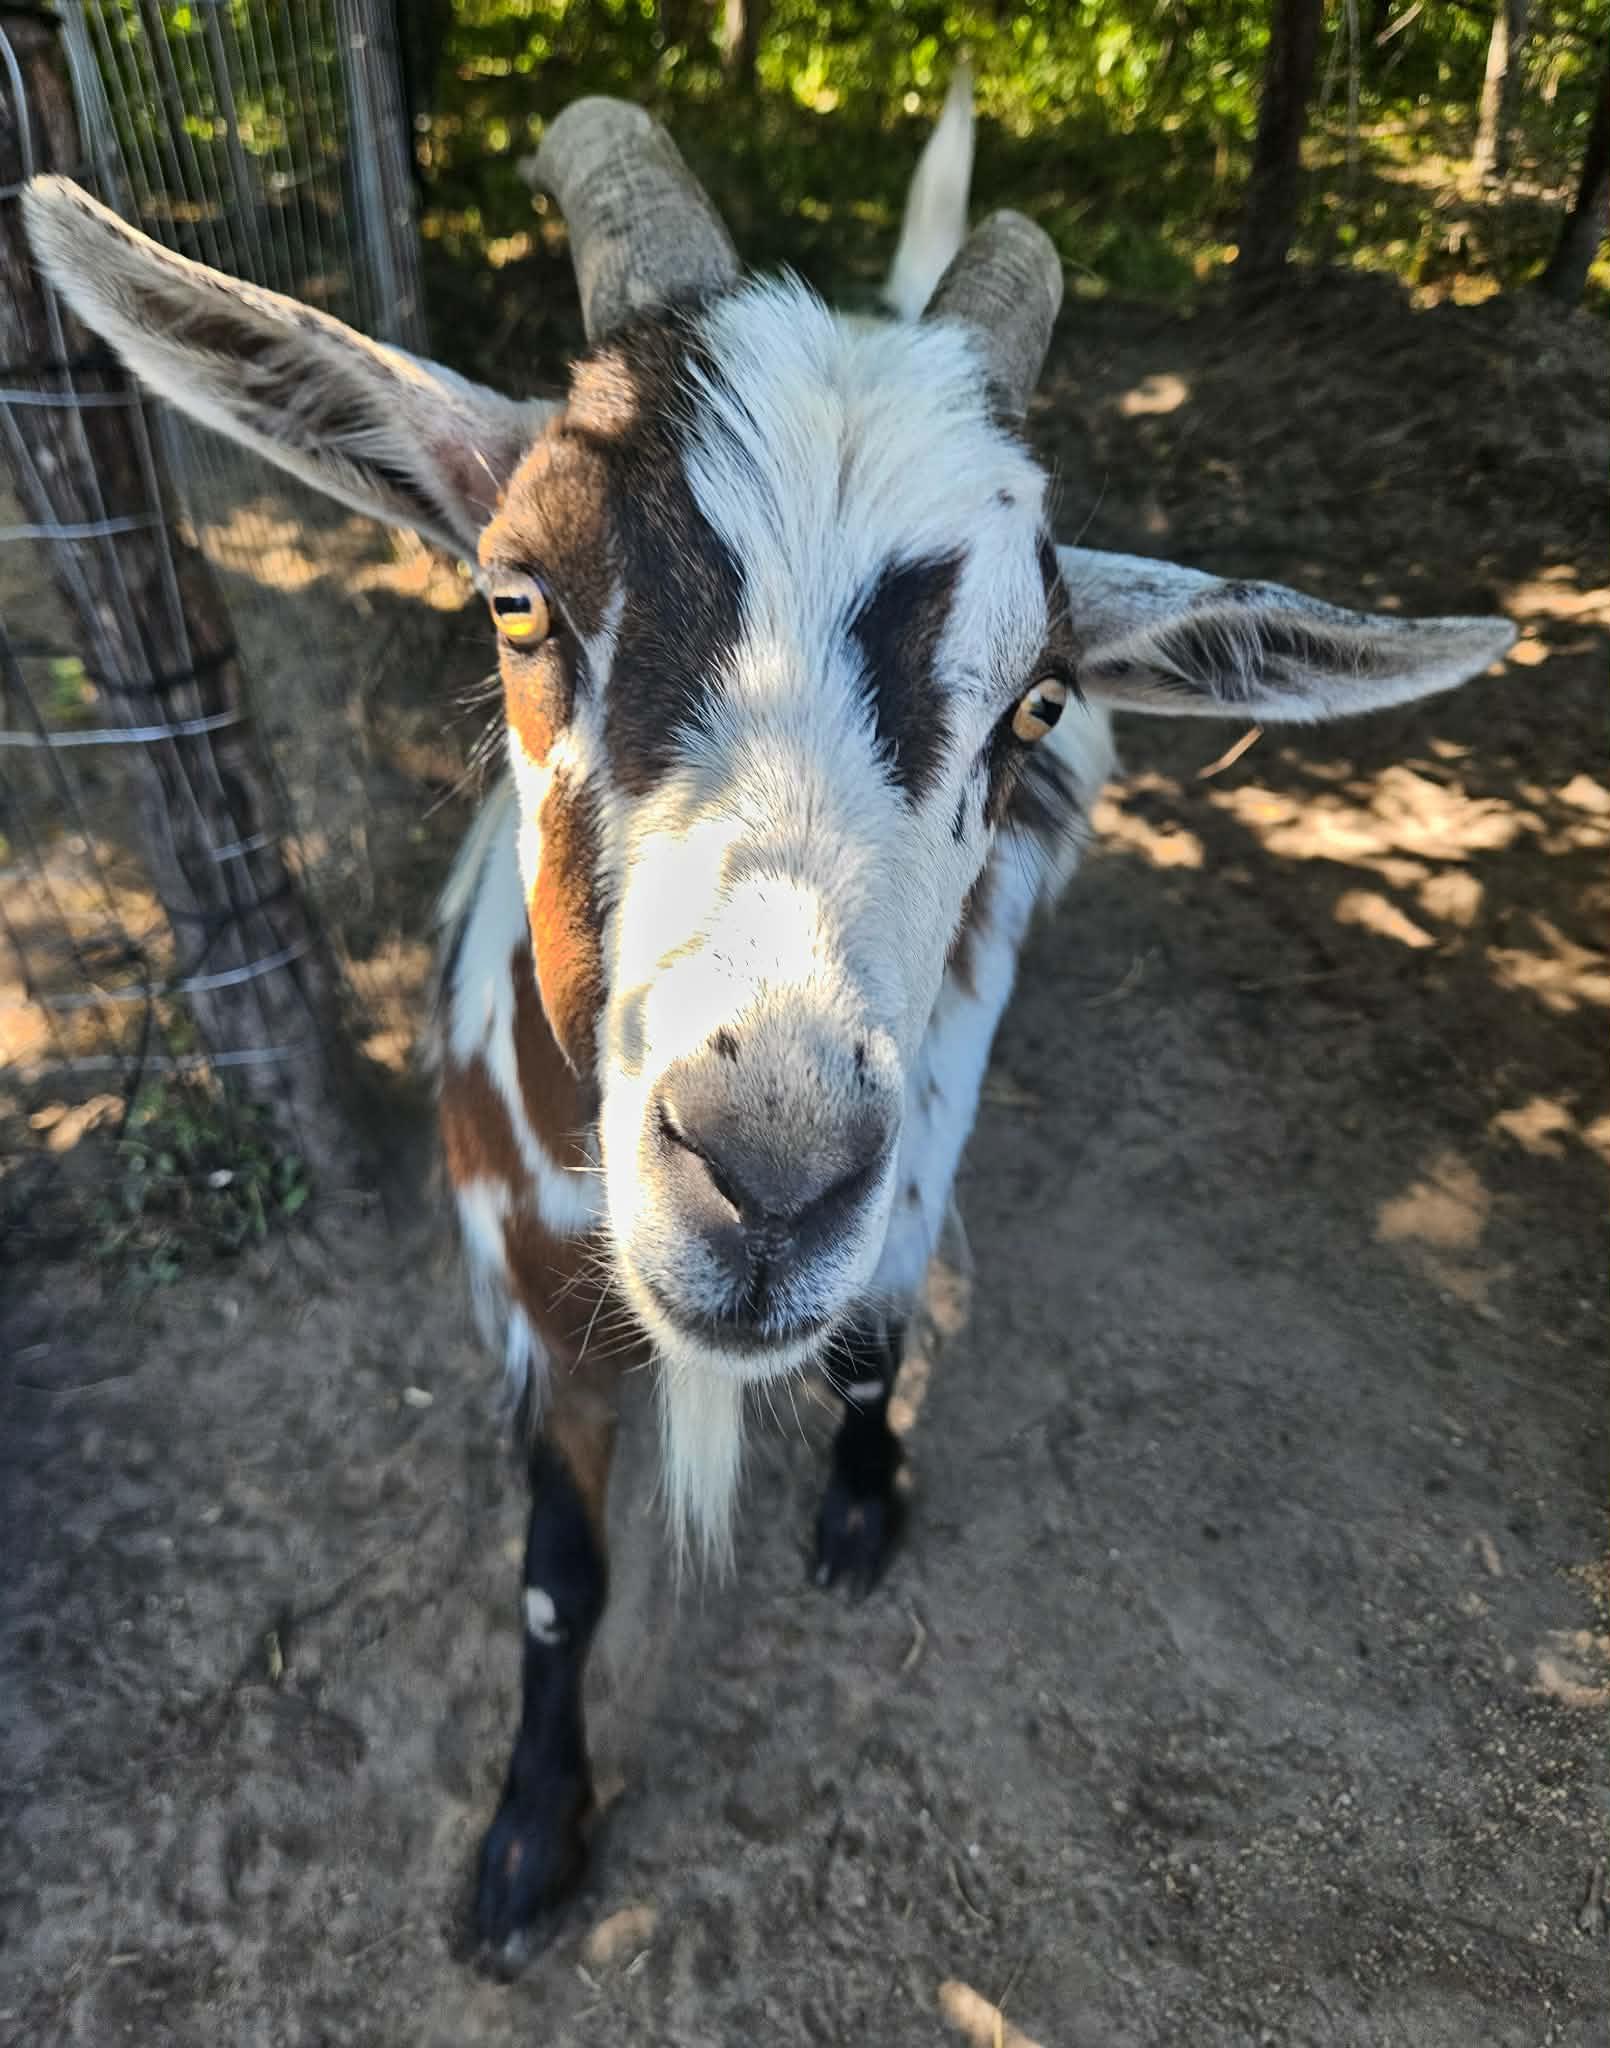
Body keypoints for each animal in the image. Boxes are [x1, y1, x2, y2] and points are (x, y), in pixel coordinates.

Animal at [24, 78, 1514, 1966]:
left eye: (1038, 699)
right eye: (516, 593)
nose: (770, 1172)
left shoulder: (908, 1167)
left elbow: (876, 1337)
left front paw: (863, 1511)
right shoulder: (526, 1308)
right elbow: (556, 1578)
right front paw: (529, 1844)